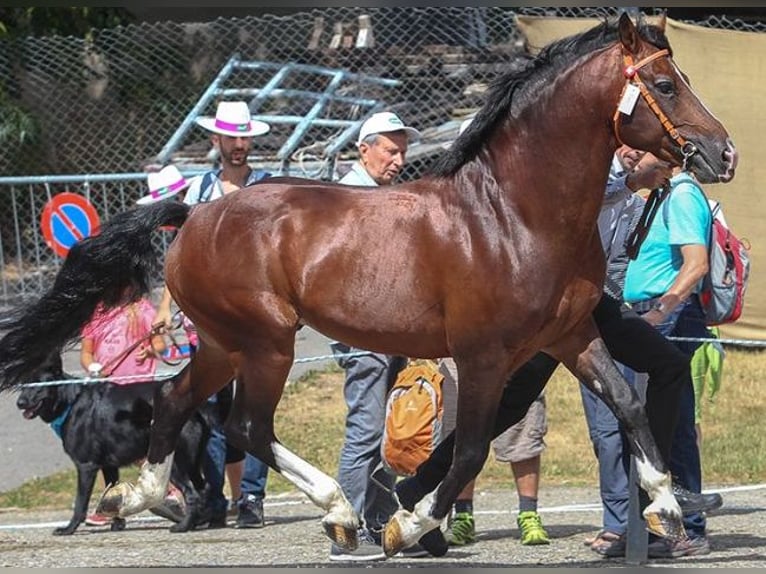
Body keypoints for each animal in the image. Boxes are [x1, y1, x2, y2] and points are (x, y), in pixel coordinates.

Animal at [0, 14, 736, 558]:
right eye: (666, 84)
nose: (723, 153)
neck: (514, 214)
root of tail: (195, 214)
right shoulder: (484, 354)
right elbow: (470, 448)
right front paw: (407, 524)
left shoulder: (570, 337)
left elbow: (629, 405)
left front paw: (667, 508)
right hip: (266, 341)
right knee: (245, 424)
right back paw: (339, 512)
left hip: (223, 341)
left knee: (178, 399)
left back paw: (137, 495)